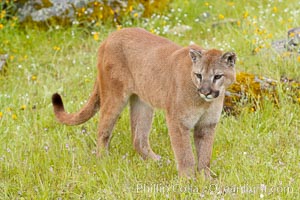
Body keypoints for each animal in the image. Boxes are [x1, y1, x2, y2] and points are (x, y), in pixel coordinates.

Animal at [53, 27, 237, 178]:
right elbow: (185, 155)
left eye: (217, 76)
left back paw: (159, 162)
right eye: (199, 75)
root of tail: (109, 37)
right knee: (103, 129)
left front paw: (206, 179)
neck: (204, 103)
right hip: (114, 96)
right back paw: (103, 160)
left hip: (143, 103)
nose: (205, 91)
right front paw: (188, 181)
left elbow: (205, 155)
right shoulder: (178, 122)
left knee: (138, 138)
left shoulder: (207, 125)